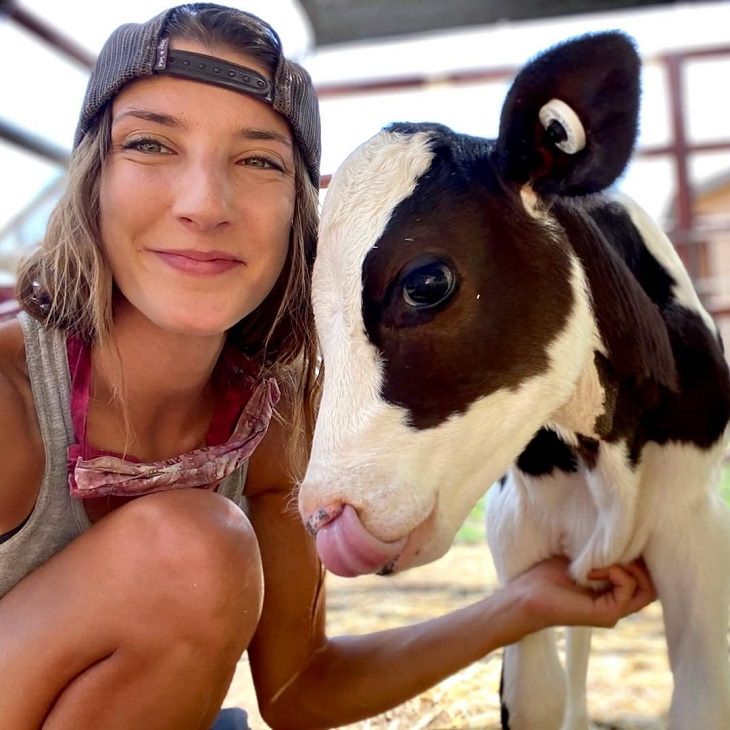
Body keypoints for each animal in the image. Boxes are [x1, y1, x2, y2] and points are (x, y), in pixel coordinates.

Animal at [298, 31, 728, 724]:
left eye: (426, 282)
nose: (327, 515)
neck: (611, 454)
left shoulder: (698, 529)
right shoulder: (518, 533)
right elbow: (536, 695)